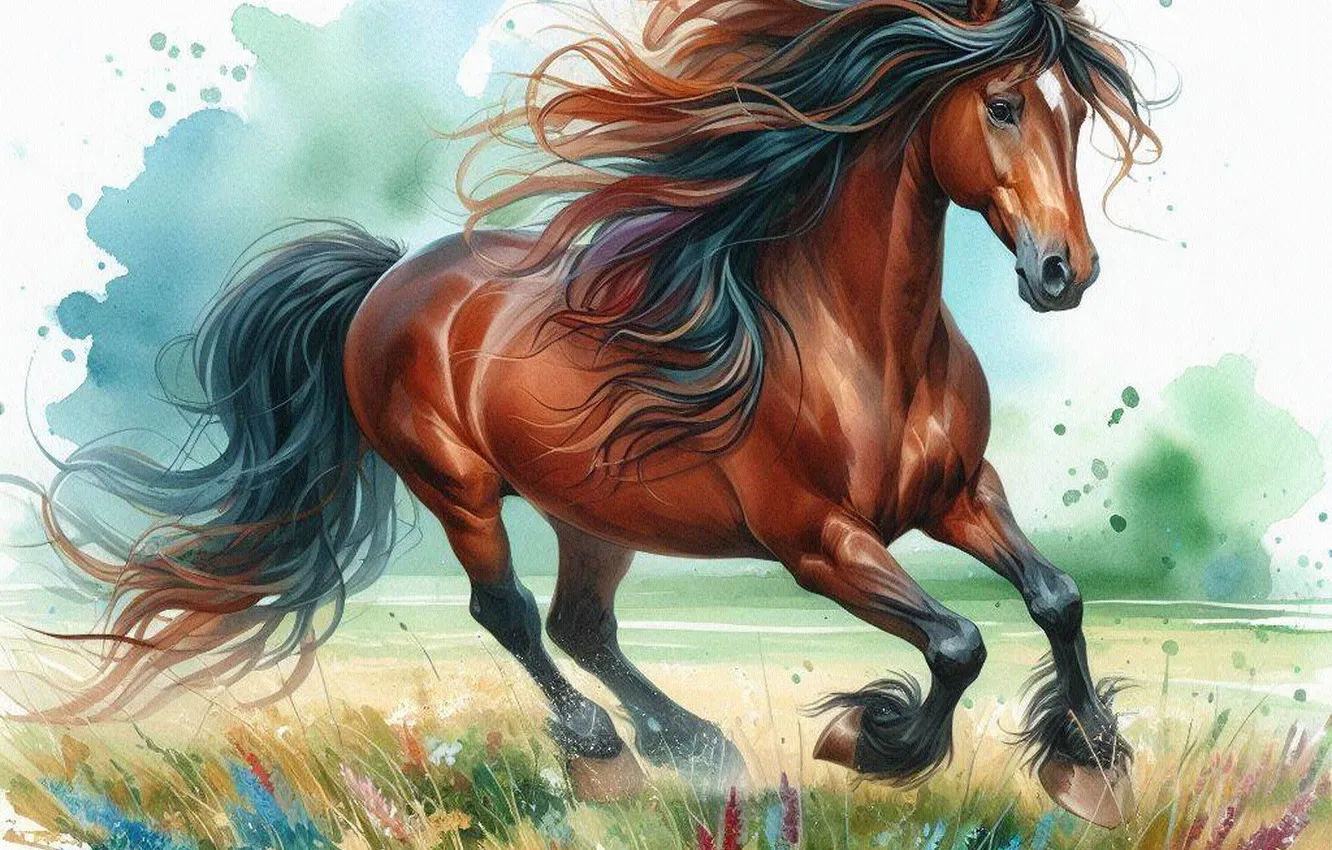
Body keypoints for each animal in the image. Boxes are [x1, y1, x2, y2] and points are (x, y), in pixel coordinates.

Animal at [27, 0, 1159, 828]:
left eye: (1076, 113)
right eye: (1004, 104)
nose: (1066, 274)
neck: (860, 345)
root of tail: (389, 278)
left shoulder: (960, 494)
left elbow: (1055, 597)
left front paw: (1091, 762)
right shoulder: (817, 542)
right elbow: (958, 641)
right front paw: (874, 739)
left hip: (594, 510)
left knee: (583, 623)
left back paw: (691, 746)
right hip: (458, 486)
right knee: (514, 615)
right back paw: (607, 752)